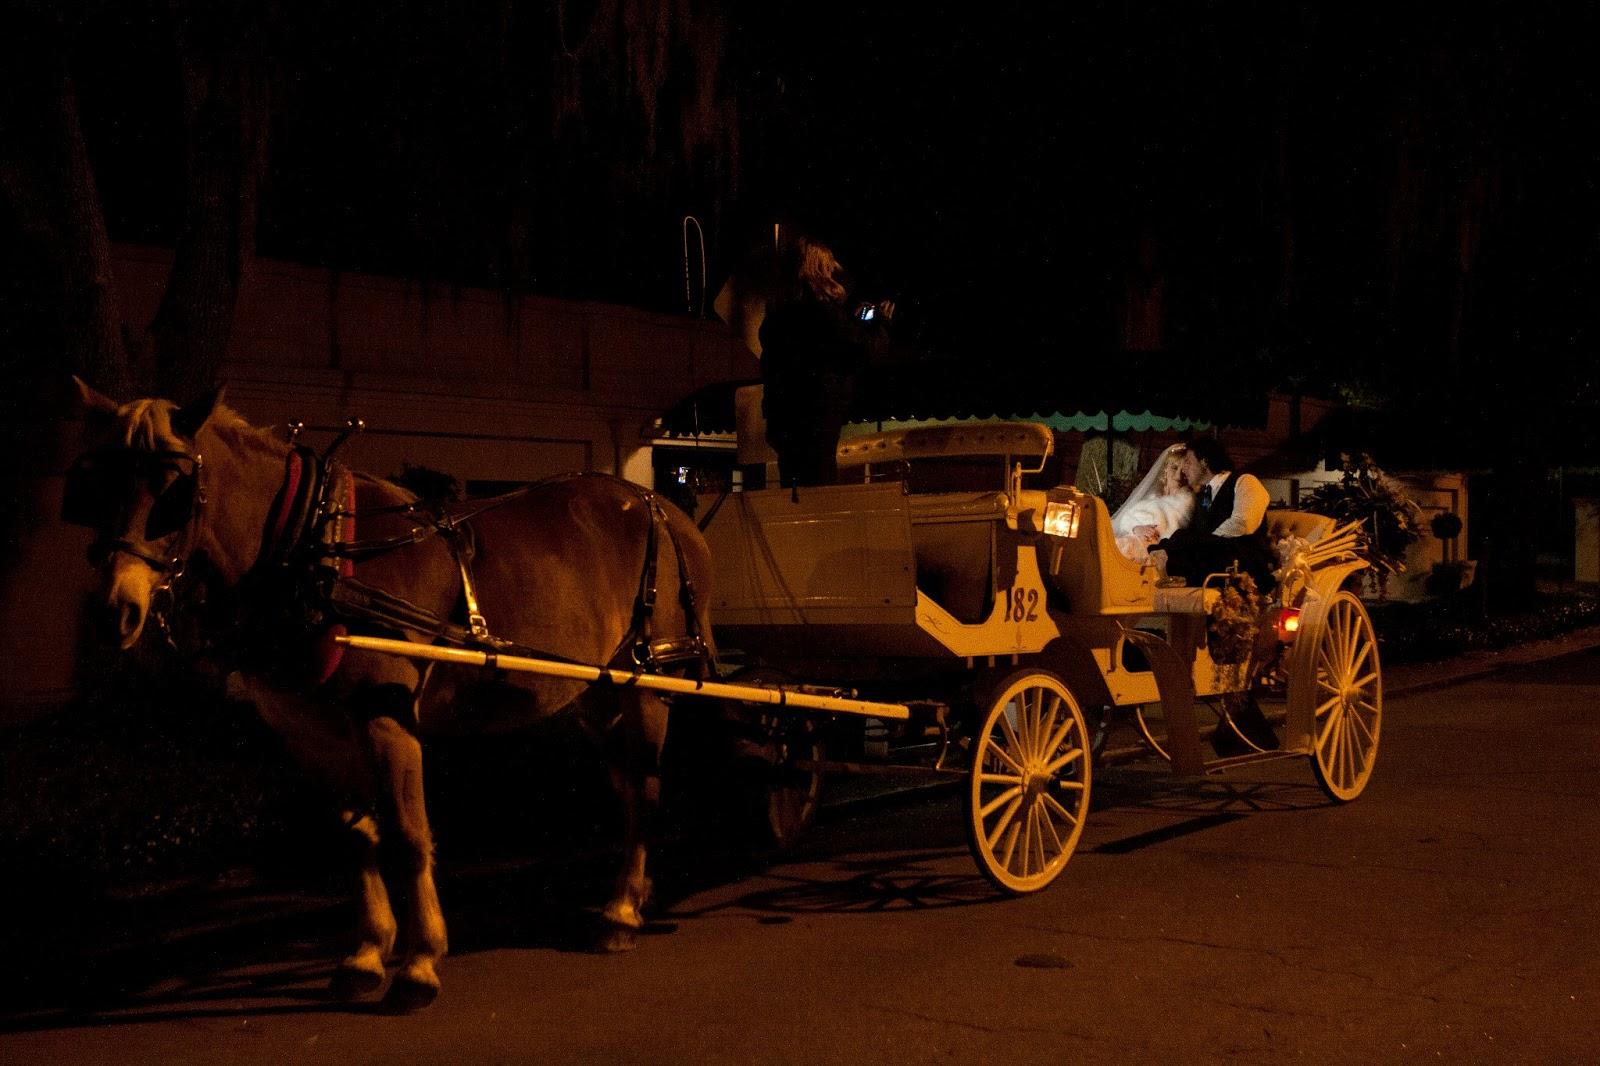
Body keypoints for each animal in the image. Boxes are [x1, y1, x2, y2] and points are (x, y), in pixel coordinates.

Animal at [64, 377, 713, 1011]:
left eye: (173, 486)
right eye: (94, 484)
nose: (114, 611)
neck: (312, 546)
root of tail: (666, 509)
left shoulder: (386, 717)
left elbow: (406, 835)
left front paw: (421, 962)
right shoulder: (309, 732)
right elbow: (358, 836)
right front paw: (366, 955)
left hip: (649, 686)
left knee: (645, 792)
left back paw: (621, 914)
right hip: (599, 697)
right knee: (629, 790)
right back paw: (634, 896)